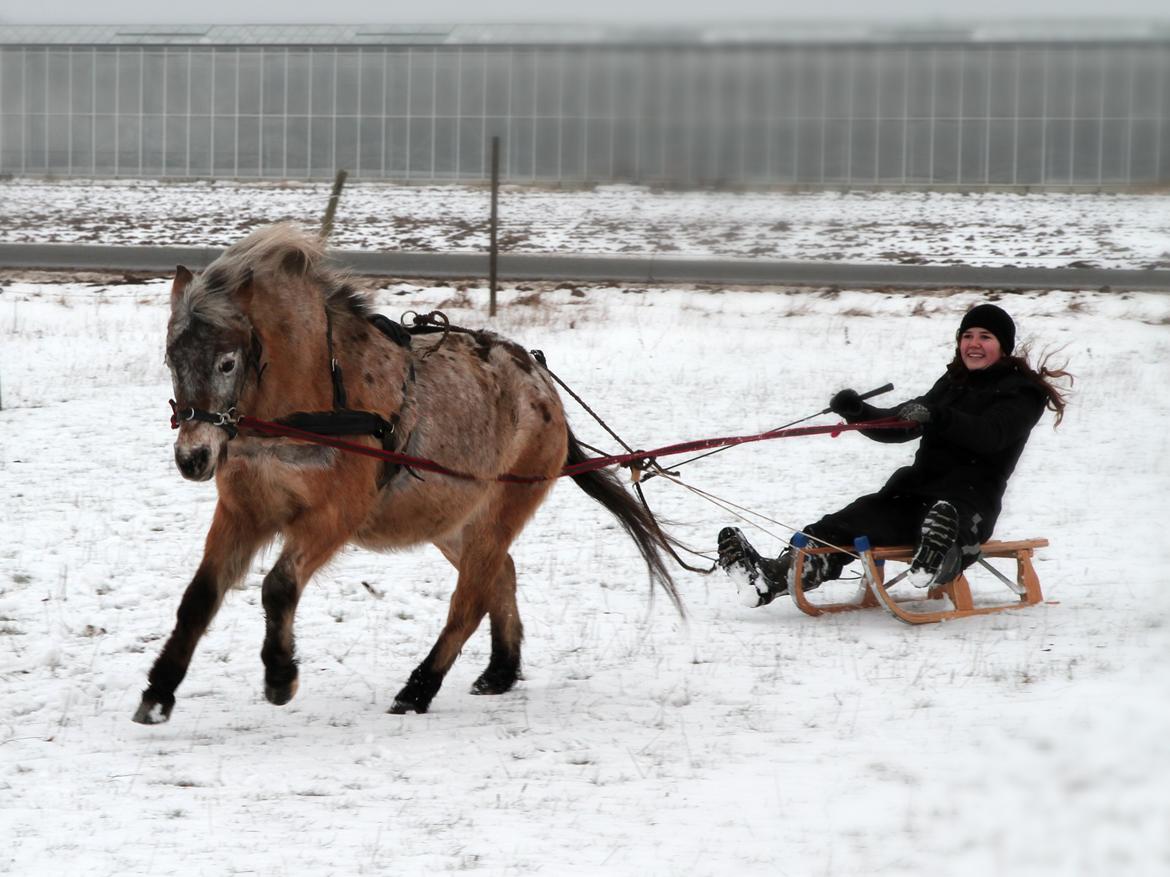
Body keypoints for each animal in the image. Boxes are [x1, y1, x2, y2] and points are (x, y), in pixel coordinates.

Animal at [132, 223, 682, 724]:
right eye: (171, 359)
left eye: (227, 362)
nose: (193, 457)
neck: (316, 396)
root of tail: (542, 385)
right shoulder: (243, 511)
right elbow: (200, 596)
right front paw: (158, 692)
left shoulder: (335, 516)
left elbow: (280, 586)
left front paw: (280, 675)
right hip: (451, 521)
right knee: (499, 576)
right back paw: (499, 671)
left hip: (499, 512)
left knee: (469, 600)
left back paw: (418, 688)